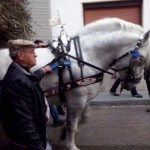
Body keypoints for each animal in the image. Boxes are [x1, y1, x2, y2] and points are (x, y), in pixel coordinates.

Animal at [0, 17, 150, 150]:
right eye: (141, 60)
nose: (135, 82)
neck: (86, 55)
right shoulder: (76, 99)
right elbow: (72, 124)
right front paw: (71, 145)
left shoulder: (82, 95)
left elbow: (84, 117)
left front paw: (65, 132)